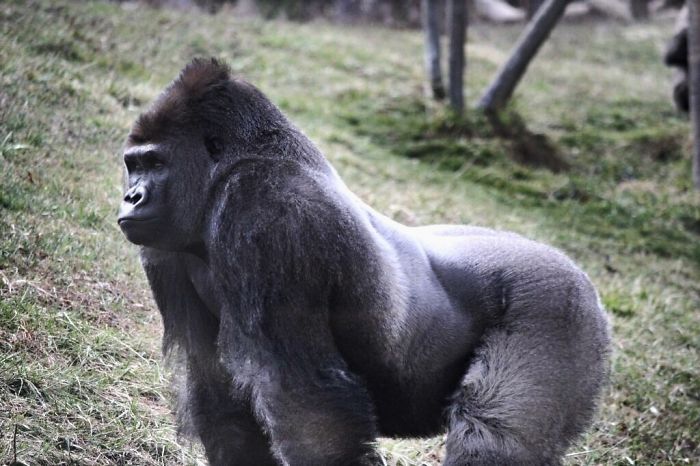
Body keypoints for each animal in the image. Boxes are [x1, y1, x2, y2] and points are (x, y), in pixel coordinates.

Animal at [118, 58, 610, 466]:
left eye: (155, 163)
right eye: (133, 164)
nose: (131, 197)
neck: (233, 165)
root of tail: (579, 274)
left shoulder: (266, 208)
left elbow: (305, 400)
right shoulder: (167, 250)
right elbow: (216, 387)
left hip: (558, 306)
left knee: (495, 437)